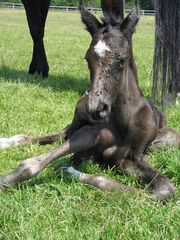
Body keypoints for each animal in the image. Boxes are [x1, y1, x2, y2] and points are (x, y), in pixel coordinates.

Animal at [0, 0, 180, 202]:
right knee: (59, 134)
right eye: (87, 59)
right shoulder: (91, 133)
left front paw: (70, 171)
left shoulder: (131, 159)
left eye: (122, 59)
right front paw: (7, 180)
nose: (96, 108)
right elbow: (34, 163)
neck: (124, 118)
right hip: (78, 116)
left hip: (168, 139)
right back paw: (6, 141)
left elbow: (165, 190)